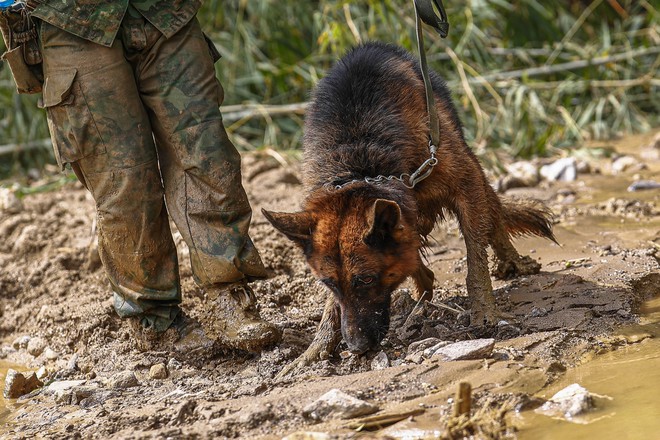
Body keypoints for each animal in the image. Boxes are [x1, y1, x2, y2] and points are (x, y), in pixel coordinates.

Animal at [260, 40, 556, 372]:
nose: (357, 347)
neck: (360, 165)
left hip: (471, 170)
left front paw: (483, 311)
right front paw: (318, 346)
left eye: (366, 279)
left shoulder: (465, 184)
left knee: (492, 218)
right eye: (328, 283)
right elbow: (333, 306)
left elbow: (475, 261)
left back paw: (511, 261)